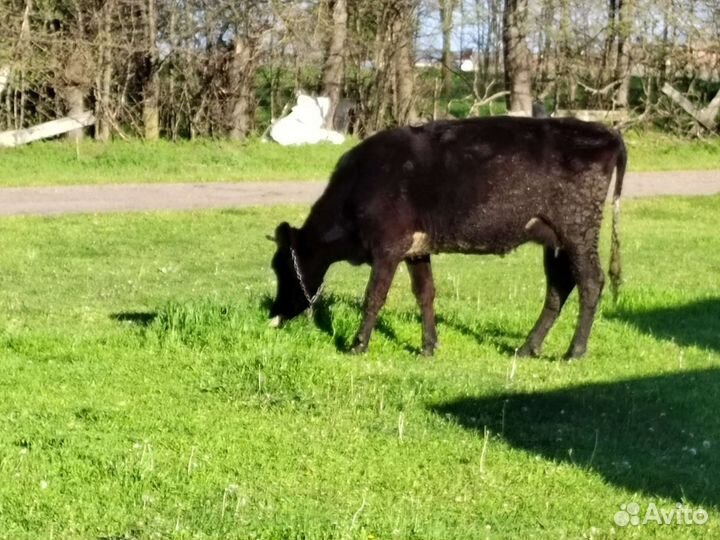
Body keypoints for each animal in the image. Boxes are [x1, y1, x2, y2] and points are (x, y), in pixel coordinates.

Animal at [268, 116, 626, 359]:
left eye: (281, 268)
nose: (274, 312)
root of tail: (606, 132)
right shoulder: (415, 248)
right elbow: (425, 293)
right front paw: (428, 346)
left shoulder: (388, 246)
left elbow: (374, 296)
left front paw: (358, 345)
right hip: (554, 239)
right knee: (559, 287)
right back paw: (528, 347)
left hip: (578, 228)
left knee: (590, 281)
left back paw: (574, 351)